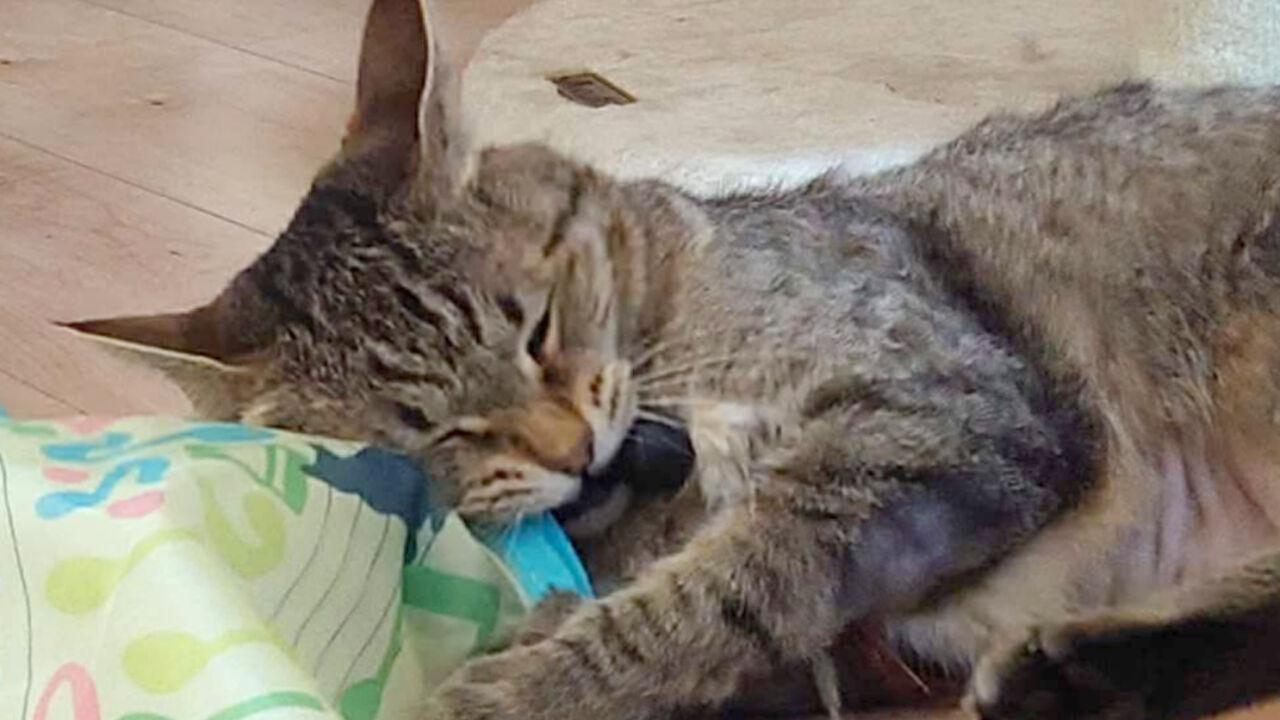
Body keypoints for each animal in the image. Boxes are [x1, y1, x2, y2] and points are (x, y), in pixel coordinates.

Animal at [63, 0, 1280, 718]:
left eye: (535, 324)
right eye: (432, 434)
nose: (570, 449)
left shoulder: (939, 415)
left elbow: (717, 594)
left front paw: (514, 686)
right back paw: (1083, 677)